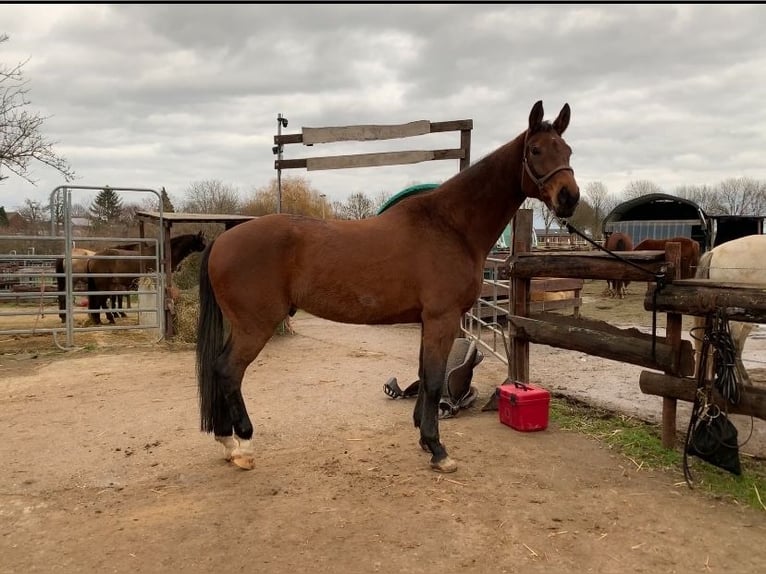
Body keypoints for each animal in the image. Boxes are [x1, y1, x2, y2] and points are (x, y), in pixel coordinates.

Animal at [196, 101, 584, 474]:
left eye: (567, 150)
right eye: (535, 150)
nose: (569, 198)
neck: (449, 225)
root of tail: (223, 240)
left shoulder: (429, 320)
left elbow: (424, 375)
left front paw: (424, 438)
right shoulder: (442, 318)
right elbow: (433, 380)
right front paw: (438, 450)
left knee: (218, 369)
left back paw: (227, 442)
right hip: (255, 326)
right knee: (229, 371)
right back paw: (243, 446)